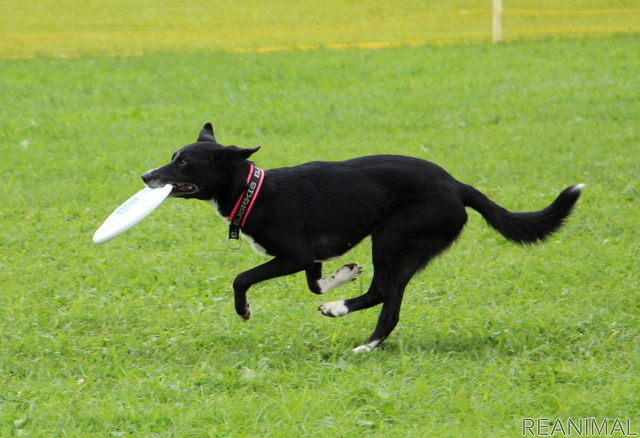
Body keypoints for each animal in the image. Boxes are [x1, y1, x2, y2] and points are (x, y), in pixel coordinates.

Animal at [142, 123, 584, 352]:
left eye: (184, 162)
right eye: (173, 157)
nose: (146, 176)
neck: (253, 191)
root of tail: (457, 186)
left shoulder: (293, 256)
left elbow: (242, 278)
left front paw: (245, 311)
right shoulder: (311, 256)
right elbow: (316, 281)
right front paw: (345, 273)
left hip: (391, 236)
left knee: (382, 291)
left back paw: (338, 310)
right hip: (405, 249)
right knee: (390, 305)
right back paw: (366, 345)